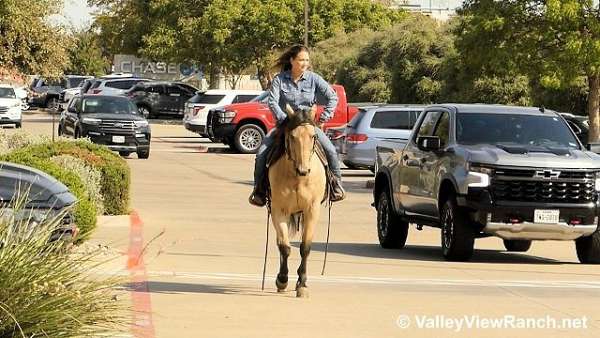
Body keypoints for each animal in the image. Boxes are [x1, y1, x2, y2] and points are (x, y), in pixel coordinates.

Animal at [268, 105, 326, 298]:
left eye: (313, 136)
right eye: (292, 137)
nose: (303, 170)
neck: (297, 178)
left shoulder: (312, 210)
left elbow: (305, 247)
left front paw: (302, 284)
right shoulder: (279, 210)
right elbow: (285, 247)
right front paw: (282, 280)